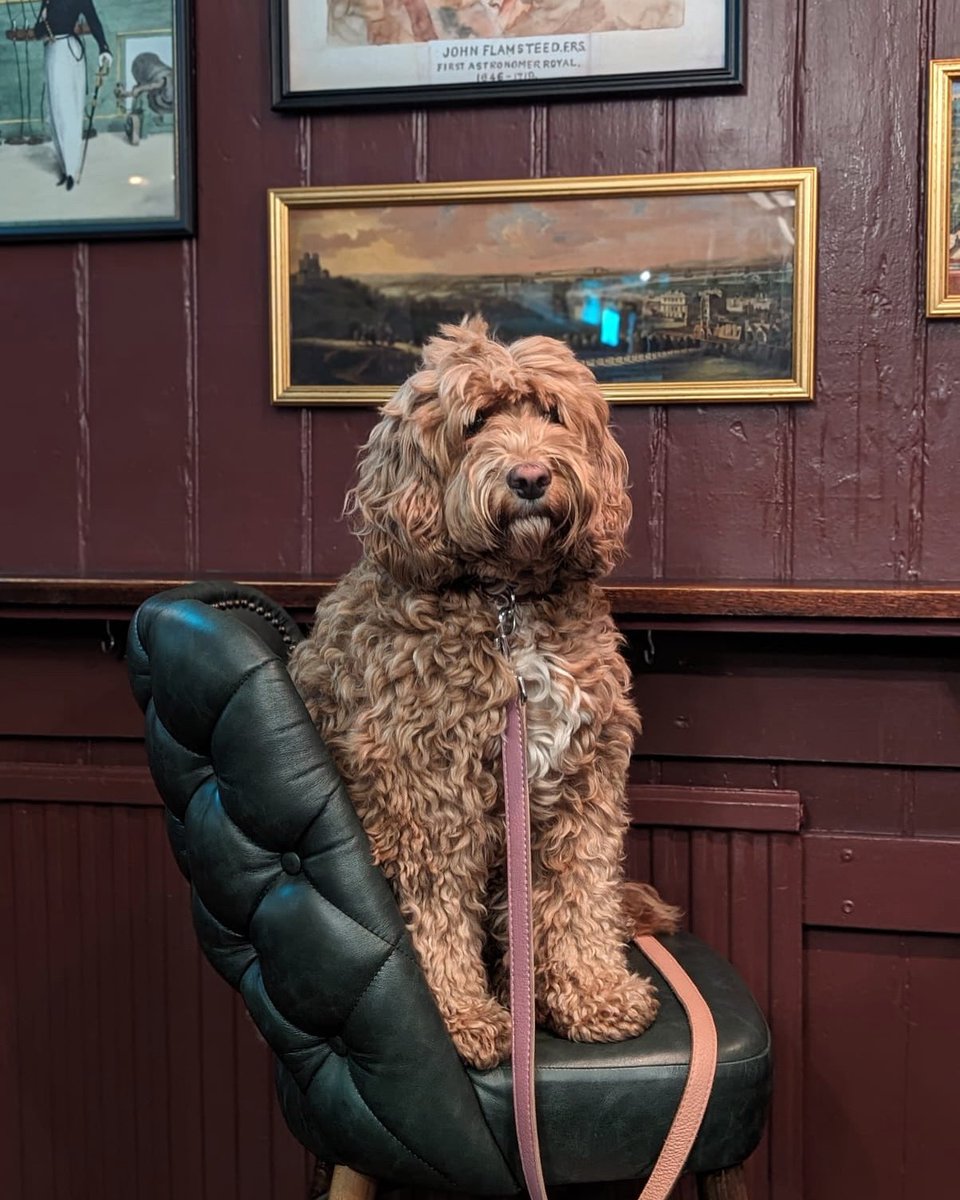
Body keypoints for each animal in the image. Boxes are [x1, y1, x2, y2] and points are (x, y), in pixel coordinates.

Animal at [289, 319, 676, 1070]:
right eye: (475, 423)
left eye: (551, 413)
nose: (530, 477)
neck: (508, 603)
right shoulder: (426, 792)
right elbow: (438, 910)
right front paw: (460, 1017)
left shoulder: (584, 781)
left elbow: (581, 891)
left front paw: (592, 993)